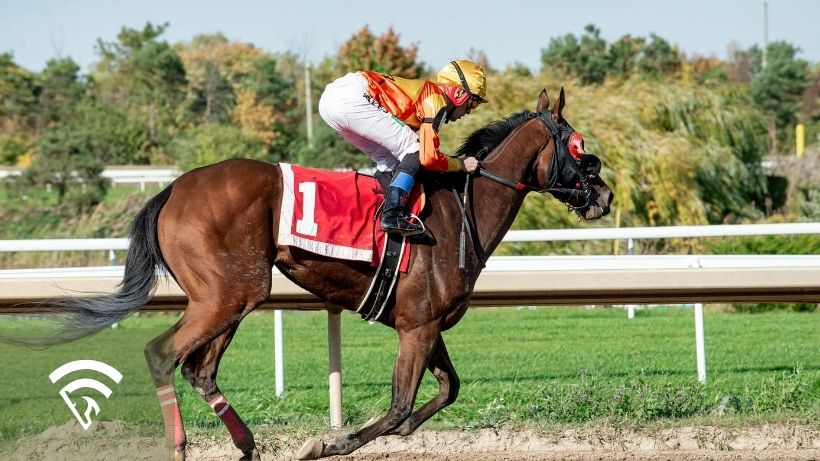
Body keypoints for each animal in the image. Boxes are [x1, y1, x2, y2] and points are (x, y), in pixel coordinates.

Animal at [15, 88, 612, 460]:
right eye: (579, 146)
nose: (604, 196)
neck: (459, 210)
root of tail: (172, 189)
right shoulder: (416, 327)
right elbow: (399, 406)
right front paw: (327, 443)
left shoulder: (426, 323)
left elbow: (447, 389)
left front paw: (400, 431)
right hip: (227, 295)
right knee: (164, 356)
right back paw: (181, 448)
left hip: (232, 296)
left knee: (200, 370)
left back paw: (248, 447)